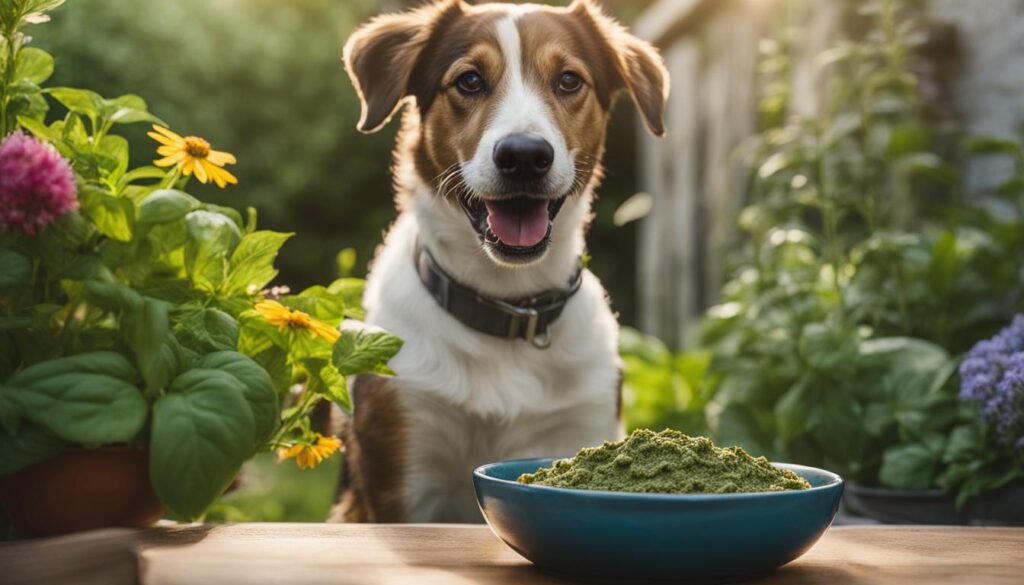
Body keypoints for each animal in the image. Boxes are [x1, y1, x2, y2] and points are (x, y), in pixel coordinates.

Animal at [331, 0, 667, 522]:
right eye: (469, 81)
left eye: (568, 80)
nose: (525, 156)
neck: (507, 303)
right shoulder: (402, 470)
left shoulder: (582, 424)